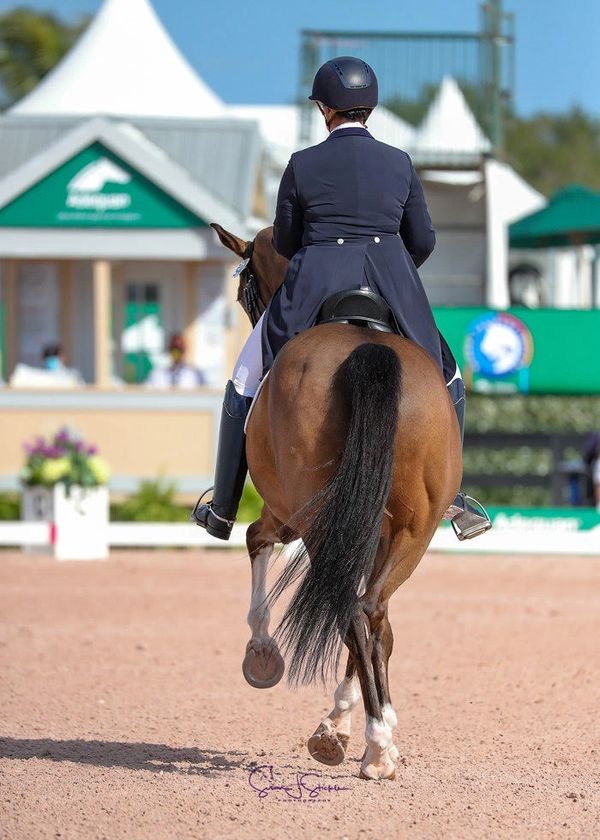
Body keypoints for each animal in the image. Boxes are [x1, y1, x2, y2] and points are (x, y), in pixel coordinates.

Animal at [211, 222, 462, 780]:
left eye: (244, 292)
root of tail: (365, 346)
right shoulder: (372, 530)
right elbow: (380, 622)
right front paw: (355, 720)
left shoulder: (287, 516)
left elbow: (254, 538)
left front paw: (262, 652)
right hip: (414, 529)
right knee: (369, 610)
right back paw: (377, 742)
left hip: (317, 519)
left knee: (352, 609)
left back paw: (370, 745)